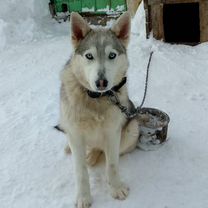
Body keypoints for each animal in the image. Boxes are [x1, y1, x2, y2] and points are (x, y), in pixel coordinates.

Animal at [58, 12, 140, 207]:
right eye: (89, 56)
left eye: (112, 55)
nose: (101, 82)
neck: (95, 99)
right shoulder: (75, 134)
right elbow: (80, 171)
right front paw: (83, 197)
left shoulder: (112, 133)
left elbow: (112, 165)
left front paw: (116, 188)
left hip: (132, 128)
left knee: (100, 149)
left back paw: (93, 156)